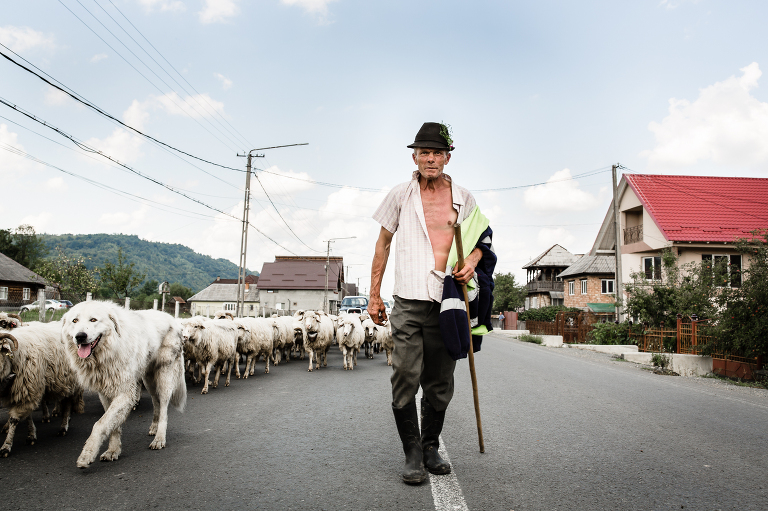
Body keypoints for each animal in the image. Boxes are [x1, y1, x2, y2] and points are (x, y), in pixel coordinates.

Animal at [0, 322, 84, 458]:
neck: (14, 358)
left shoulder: (29, 388)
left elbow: (14, 419)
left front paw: (6, 446)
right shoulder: (27, 391)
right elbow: (27, 416)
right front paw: (31, 435)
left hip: (73, 382)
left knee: (67, 405)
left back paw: (63, 427)